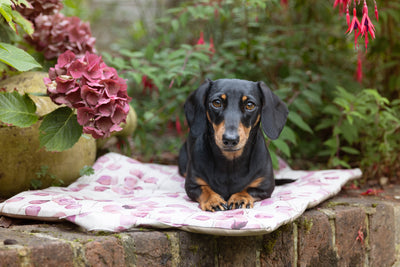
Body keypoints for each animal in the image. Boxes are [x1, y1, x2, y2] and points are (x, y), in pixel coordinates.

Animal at [180, 78, 290, 213]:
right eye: (216, 103)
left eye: (250, 105)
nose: (230, 139)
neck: (230, 162)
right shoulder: (192, 185)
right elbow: (205, 189)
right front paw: (213, 200)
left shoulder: (265, 187)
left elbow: (247, 189)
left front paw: (240, 198)